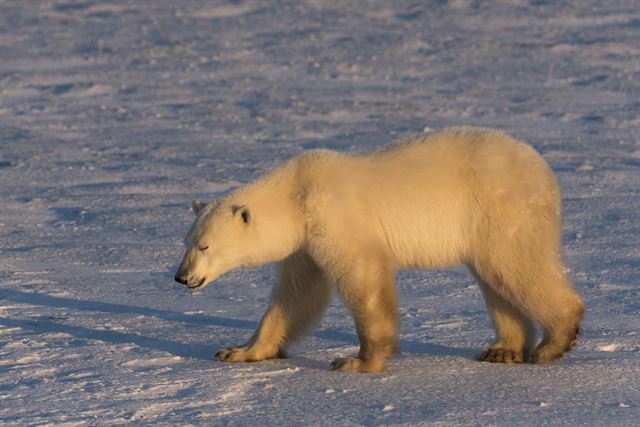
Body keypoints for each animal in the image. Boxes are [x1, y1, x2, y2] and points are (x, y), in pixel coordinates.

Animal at [174, 126, 580, 372]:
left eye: (205, 245)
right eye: (186, 242)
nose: (181, 277)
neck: (297, 193)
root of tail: (542, 169)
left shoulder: (335, 217)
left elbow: (362, 277)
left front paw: (358, 361)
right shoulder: (304, 245)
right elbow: (296, 295)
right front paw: (238, 351)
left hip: (501, 208)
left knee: (513, 265)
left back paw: (554, 340)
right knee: (494, 278)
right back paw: (502, 349)